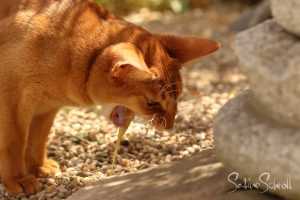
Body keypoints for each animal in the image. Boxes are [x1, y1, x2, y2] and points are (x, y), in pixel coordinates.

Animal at [0, 0, 220, 195]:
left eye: (177, 98)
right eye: (152, 103)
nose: (169, 126)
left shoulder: (46, 109)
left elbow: (37, 140)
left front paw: (39, 168)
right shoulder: (12, 106)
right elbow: (14, 145)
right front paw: (18, 180)